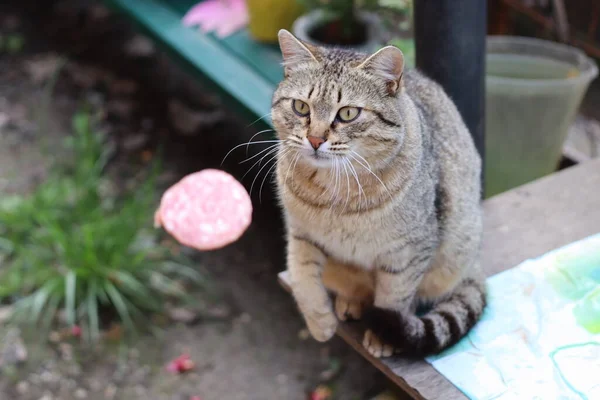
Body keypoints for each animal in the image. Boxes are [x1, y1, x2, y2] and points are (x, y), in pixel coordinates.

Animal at [272, 30, 488, 356]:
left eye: (348, 113)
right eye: (300, 107)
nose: (315, 139)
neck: (337, 192)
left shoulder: (410, 250)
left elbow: (394, 297)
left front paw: (383, 335)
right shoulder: (301, 234)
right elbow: (301, 277)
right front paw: (320, 323)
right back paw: (349, 302)